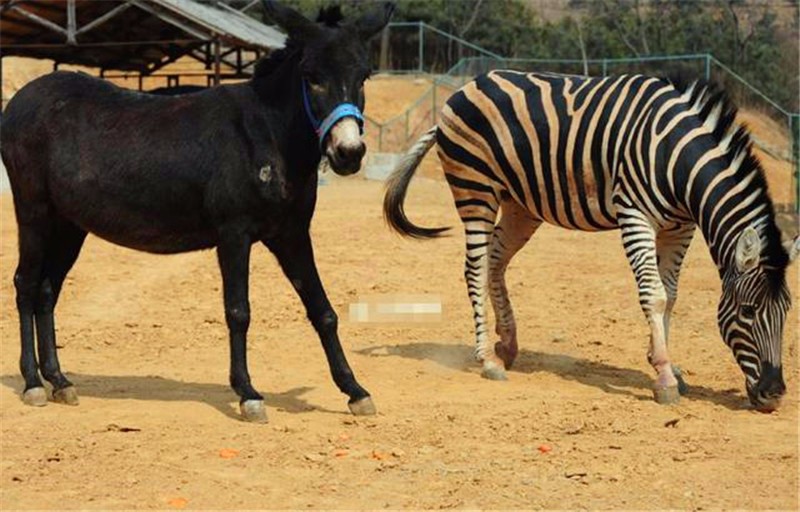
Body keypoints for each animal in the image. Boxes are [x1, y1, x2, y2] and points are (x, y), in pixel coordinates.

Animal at [384, 70, 796, 410]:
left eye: (787, 312)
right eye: (748, 311)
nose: (774, 394)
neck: (680, 162)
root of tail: (466, 87)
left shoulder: (680, 227)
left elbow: (671, 295)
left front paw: (665, 364)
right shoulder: (635, 214)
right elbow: (654, 294)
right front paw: (664, 377)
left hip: (521, 204)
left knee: (495, 262)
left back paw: (508, 344)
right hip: (475, 189)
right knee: (475, 266)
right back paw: (486, 359)